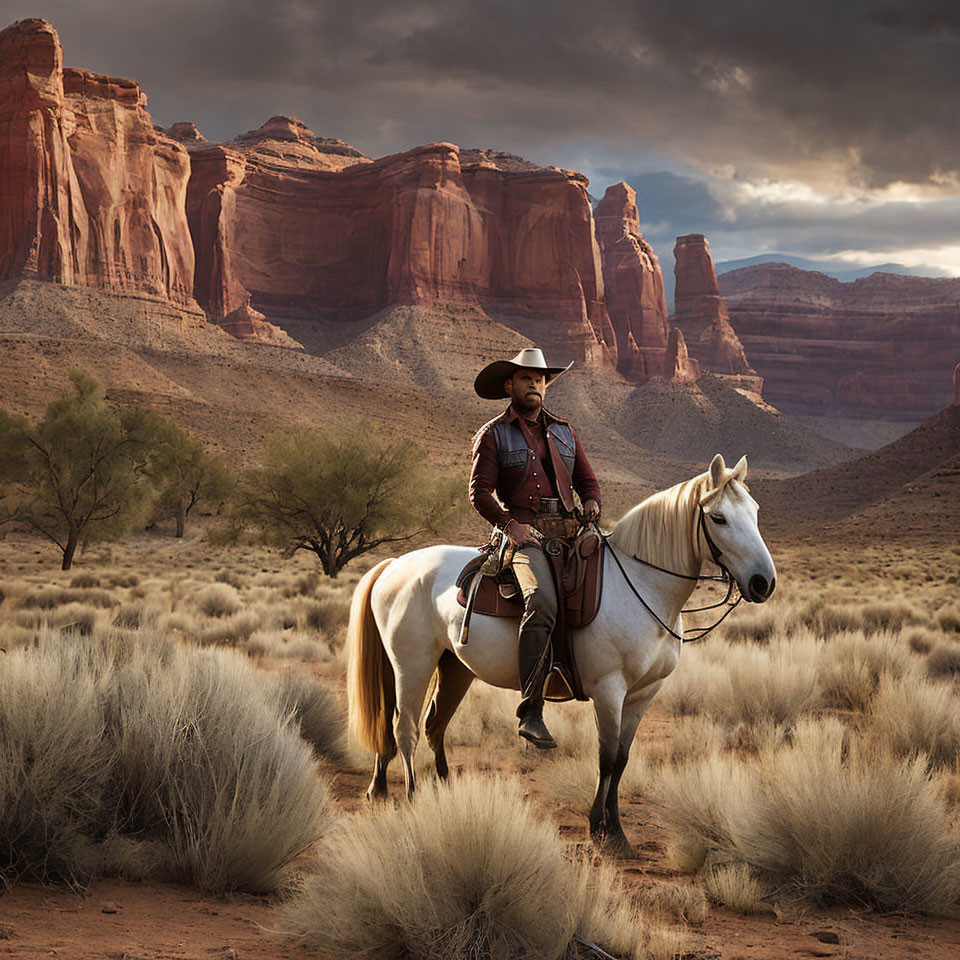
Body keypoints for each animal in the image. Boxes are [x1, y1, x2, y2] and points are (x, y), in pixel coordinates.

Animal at [348, 454, 776, 852]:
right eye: (719, 518)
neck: (642, 586)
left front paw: (617, 831)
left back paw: (410, 791)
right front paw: (600, 828)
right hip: (411, 665)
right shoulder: (609, 690)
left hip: (454, 667)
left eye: (755, 512)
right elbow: (606, 757)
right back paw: (412, 797)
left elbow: (622, 759)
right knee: (404, 728)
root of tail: (394, 564)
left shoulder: (643, 694)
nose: (763, 583)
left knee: (434, 726)